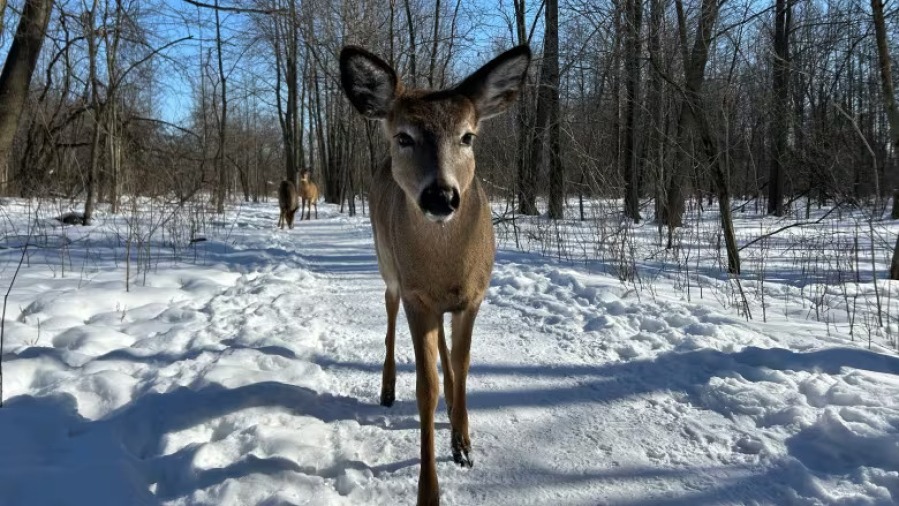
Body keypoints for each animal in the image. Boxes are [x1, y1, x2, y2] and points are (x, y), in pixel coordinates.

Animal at [342, 45, 532, 504]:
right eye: (404, 137)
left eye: (468, 136)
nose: (441, 196)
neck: (446, 266)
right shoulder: (418, 297)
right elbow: (424, 389)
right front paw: (428, 490)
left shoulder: (473, 297)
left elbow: (462, 367)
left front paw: (462, 441)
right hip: (388, 266)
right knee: (389, 314)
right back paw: (387, 388)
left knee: (446, 350)